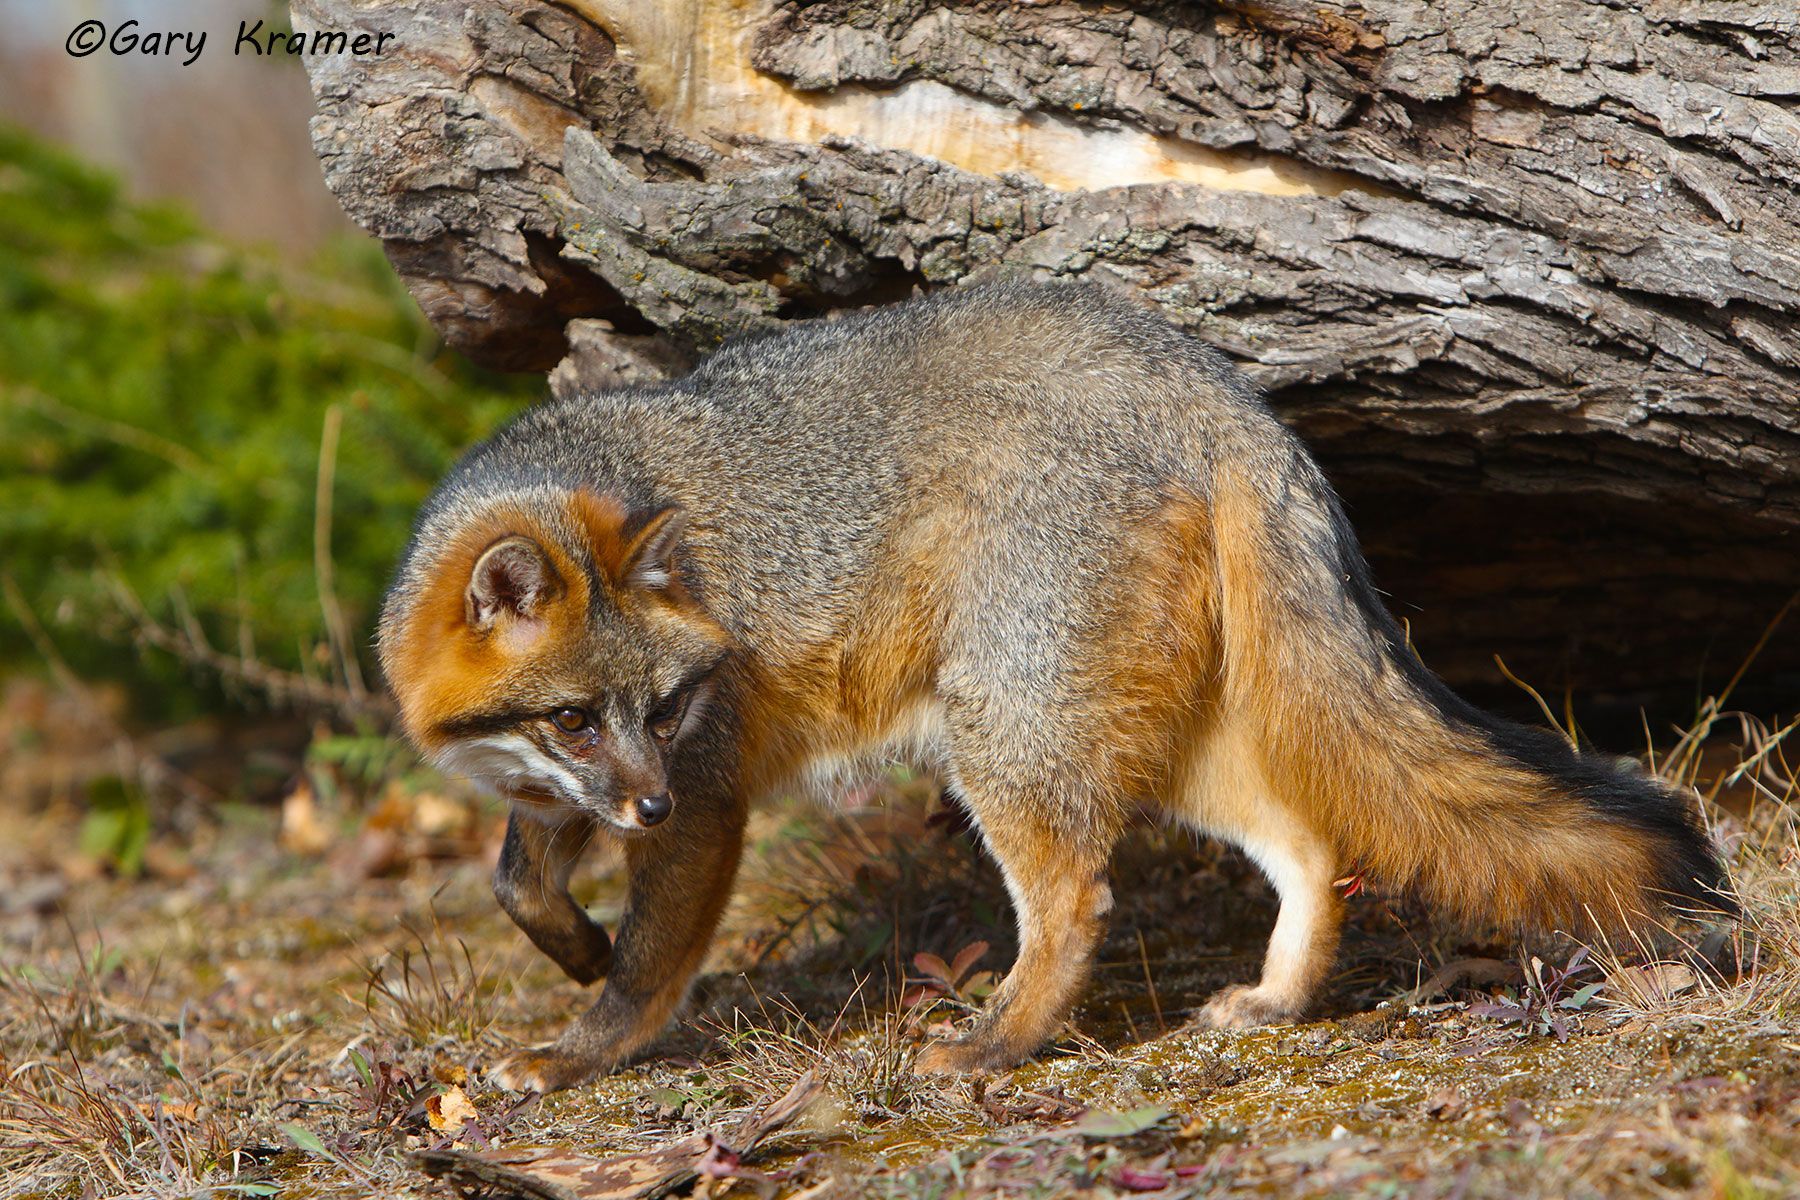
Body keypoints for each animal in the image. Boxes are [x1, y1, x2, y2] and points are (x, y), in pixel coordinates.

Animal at [378, 280, 1731, 1092]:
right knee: (1307, 842)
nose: (645, 807)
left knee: (1079, 900)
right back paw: (1273, 1001)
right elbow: (516, 879)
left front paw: (579, 1047)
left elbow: (649, 964)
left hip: (1005, 738)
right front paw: (568, 943)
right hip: (1165, 743)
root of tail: (1216, 388)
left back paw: (995, 1046)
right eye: (573, 719)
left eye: (663, 710)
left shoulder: (707, 801)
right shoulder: (570, 793)